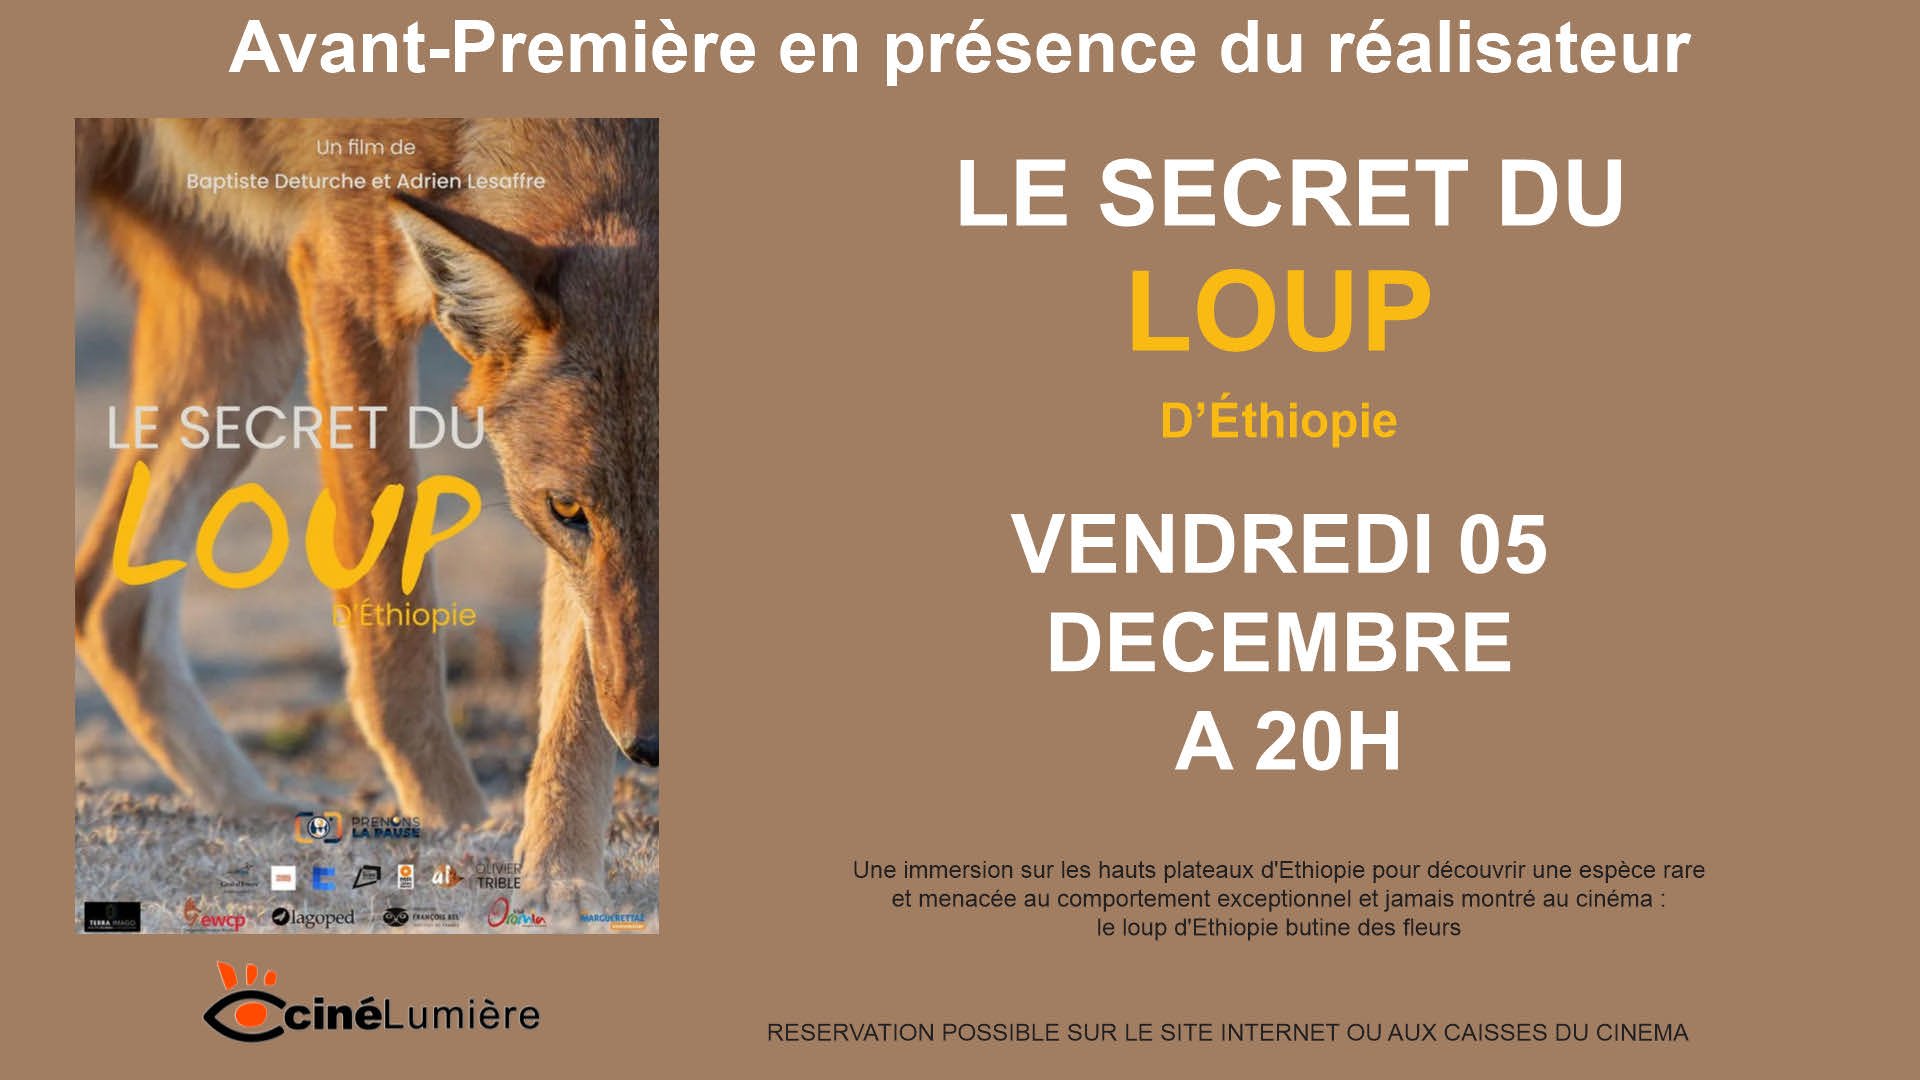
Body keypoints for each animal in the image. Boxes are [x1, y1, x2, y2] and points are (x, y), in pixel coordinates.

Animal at [73, 119, 657, 911]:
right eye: (568, 510)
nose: (649, 745)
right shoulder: (348, 278)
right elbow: (394, 632)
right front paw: (453, 829)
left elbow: (575, 695)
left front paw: (560, 876)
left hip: (253, 338)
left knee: (108, 609)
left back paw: (256, 812)